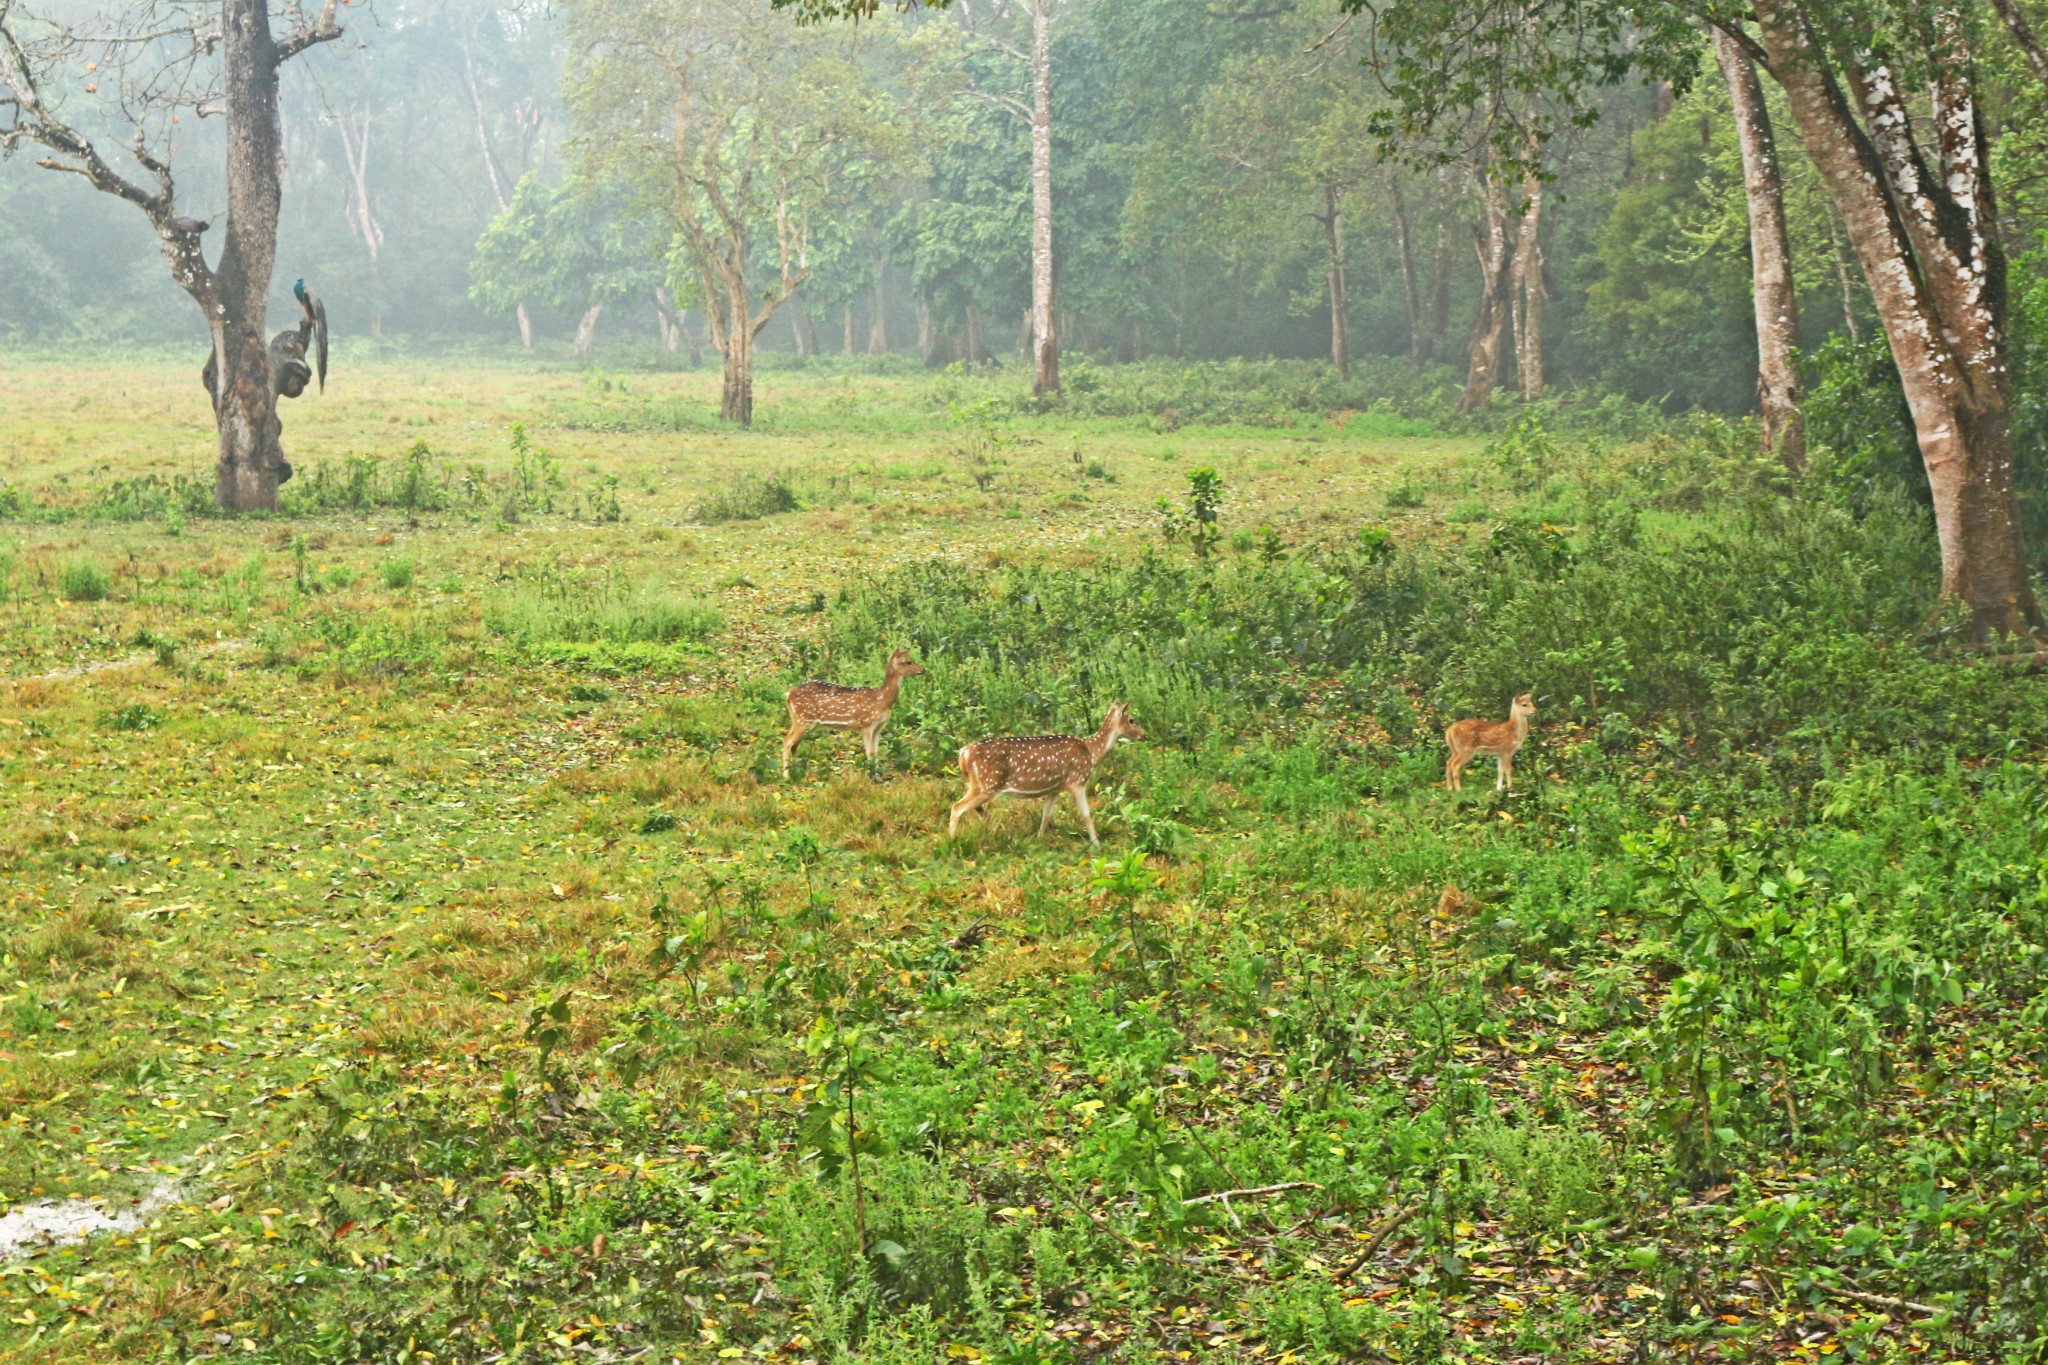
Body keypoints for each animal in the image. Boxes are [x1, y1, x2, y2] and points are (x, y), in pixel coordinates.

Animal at [778, 650, 925, 777]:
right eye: (908, 661)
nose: (923, 670)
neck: (882, 700)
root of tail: (788, 694)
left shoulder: (878, 727)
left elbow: (876, 752)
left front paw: (878, 776)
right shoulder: (865, 724)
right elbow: (870, 752)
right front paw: (872, 777)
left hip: (803, 721)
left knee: (794, 744)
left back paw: (799, 772)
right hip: (804, 720)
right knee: (787, 741)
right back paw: (786, 776)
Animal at [950, 703, 1146, 843]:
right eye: (1131, 720)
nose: (1144, 736)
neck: (1091, 753)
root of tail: (963, 753)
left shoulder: (1054, 788)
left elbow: (1046, 814)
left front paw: (1039, 839)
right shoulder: (1077, 781)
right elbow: (1086, 814)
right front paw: (1096, 843)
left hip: (976, 783)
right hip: (987, 783)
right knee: (957, 807)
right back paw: (952, 840)